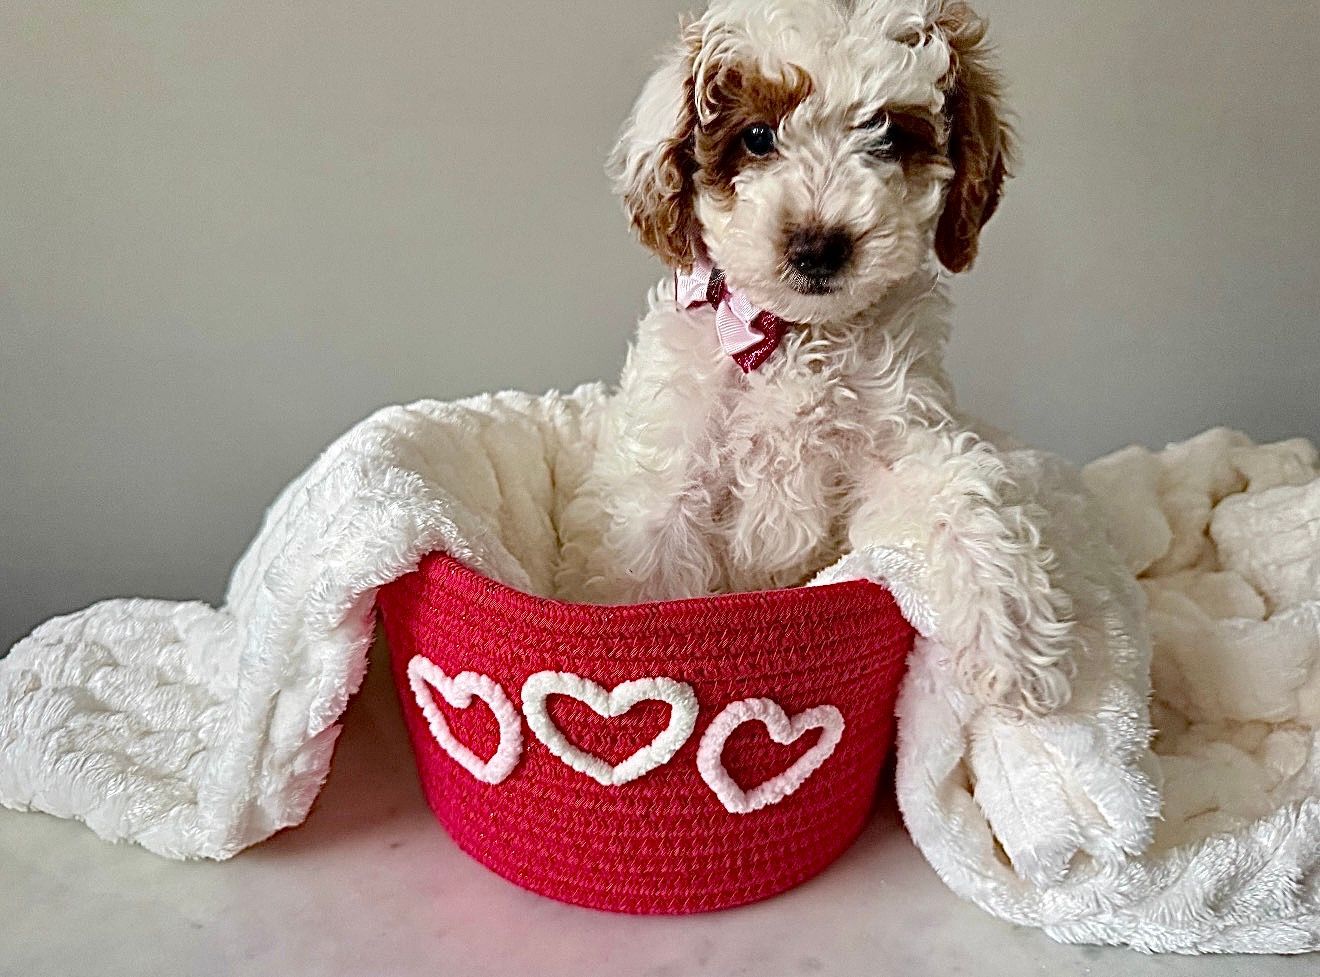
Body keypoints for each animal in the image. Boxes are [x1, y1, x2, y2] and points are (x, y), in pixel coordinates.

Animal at [557, 0, 1074, 716]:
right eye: (756, 137)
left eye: (887, 134)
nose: (818, 247)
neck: (793, 335)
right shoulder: (669, 476)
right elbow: (645, 577)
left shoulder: (897, 442)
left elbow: (961, 497)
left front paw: (1014, 648)